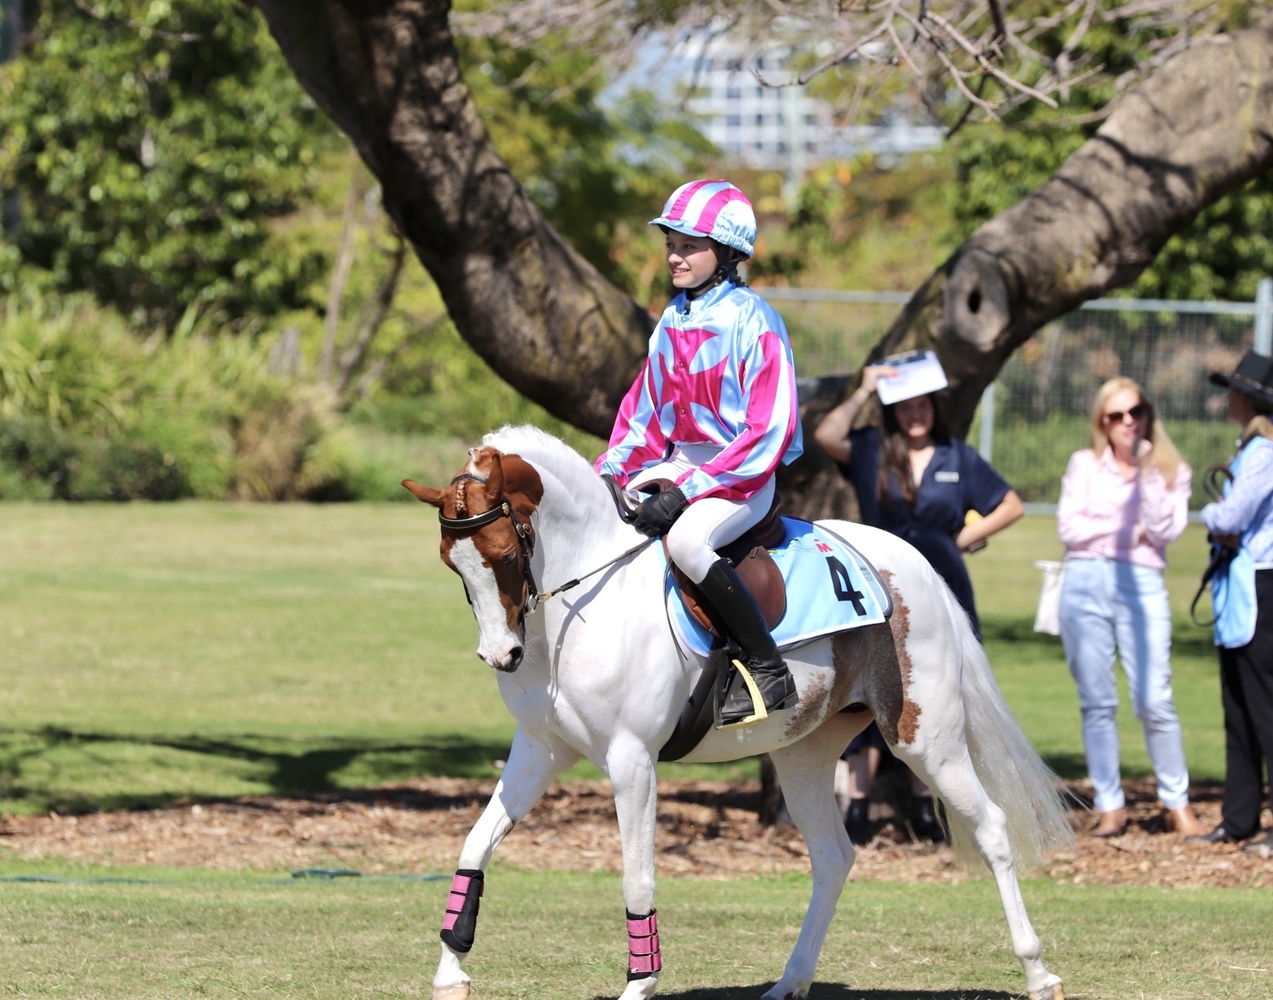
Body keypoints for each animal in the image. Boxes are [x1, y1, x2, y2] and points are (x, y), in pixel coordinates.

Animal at [403, 424, 1074, 1000]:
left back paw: (1038, 973)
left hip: (925, 740)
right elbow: (474, 846)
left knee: (991, 829)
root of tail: (912, 563)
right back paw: (792, 980)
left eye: (503, 554)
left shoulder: (632, 761)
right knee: (834, 856)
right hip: (804, 754)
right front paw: (451, 971)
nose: (501, 655)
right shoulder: (541, 749)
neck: (582, 602)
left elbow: (637, 875)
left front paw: (640, 982)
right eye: (452, 563)